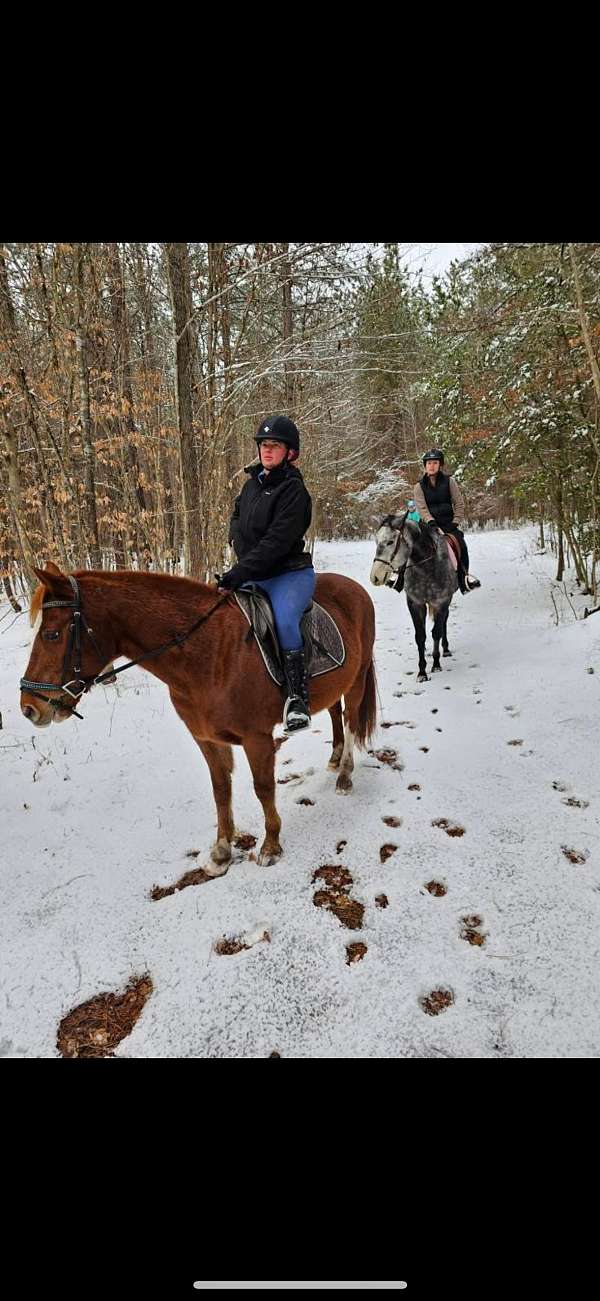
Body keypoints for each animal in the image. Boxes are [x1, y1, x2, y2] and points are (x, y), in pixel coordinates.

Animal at [20, 564, 377, 869]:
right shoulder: (205, 737)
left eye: (51, 634)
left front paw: (271, 846)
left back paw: (345, 775)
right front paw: (221, 851)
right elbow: (220, 789)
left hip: (357, 678)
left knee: (350, 719)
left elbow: (263, 788)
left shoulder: (257, 739)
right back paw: (334, 759)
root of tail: (355, 587)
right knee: (335, 713)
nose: (29, 707)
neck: (211, 654)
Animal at [367, 512, 455, 686]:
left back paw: (446, 648)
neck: (427, 567)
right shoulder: (415, 604)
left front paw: (436, 664)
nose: (375, 577)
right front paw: (422, 672)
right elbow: (420, 636)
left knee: (444, 622)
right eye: (376, 541)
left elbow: (436, 632)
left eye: (390, 541)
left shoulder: (441, 602)